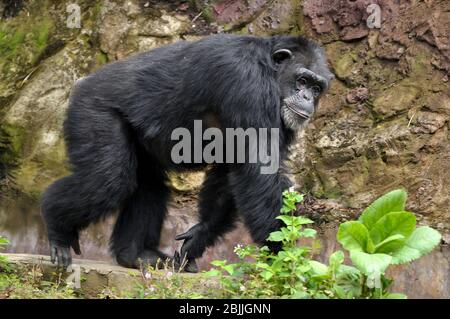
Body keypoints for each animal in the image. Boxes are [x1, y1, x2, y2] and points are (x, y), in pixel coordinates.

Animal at [40, 33, 332, 272]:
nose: (307, 98)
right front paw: (284, 258)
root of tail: (81, 83)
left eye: (317, 88)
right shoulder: (247, 84)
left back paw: (135, 255)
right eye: (302, 80)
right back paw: (58, 228)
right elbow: (257, 168)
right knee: (107, 180)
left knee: (148, 184)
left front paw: (198, 236)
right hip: (92, 113)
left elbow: (232, 169)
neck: (270, 72)